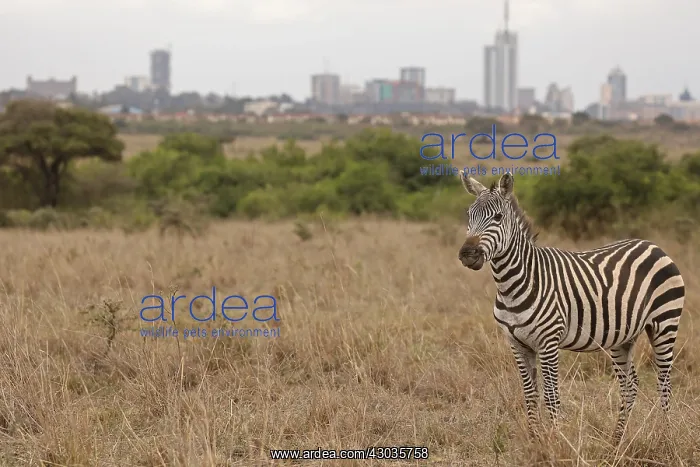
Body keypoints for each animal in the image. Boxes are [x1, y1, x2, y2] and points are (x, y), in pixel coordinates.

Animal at [457, 170, 685, 443]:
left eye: (498, 217)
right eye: (468, 215)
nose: (467, 254)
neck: (512, 285)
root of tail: (653, 245)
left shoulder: (548, 342)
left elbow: (551, 396)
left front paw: (555, 441)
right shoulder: (517, 345)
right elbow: (530, 395)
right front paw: (535, 440)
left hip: (665, 323)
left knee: (664, 381)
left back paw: (667, 435)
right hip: (622, 336)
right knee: (630, 385)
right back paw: (616, 441)